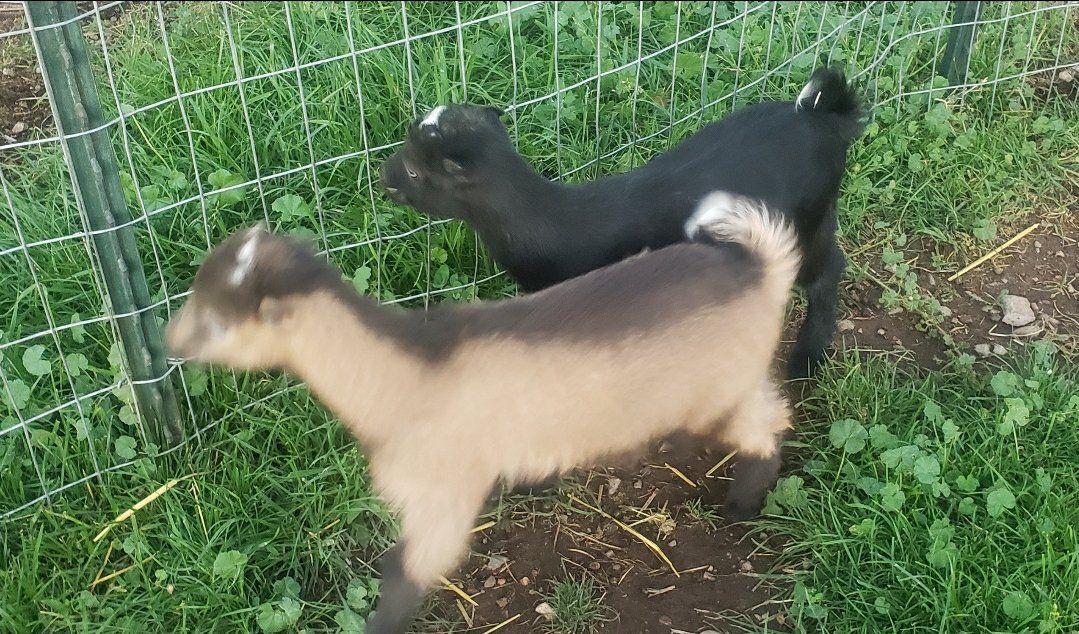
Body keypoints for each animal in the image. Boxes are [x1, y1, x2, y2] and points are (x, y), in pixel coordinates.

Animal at [166, 192, 799, 634]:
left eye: (217, 323)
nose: (170, 343)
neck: (404, 374)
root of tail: (759, 270)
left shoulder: (440, 500)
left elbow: (403, 576)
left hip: (723, 390)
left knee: (768, 423)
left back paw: (743, 504)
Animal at [379, 68, 865, 378]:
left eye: (416, 171)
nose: (383, 179)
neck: (550, 216)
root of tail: (825, 118)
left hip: (805, 220)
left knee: (826, 273)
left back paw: (806, 360)